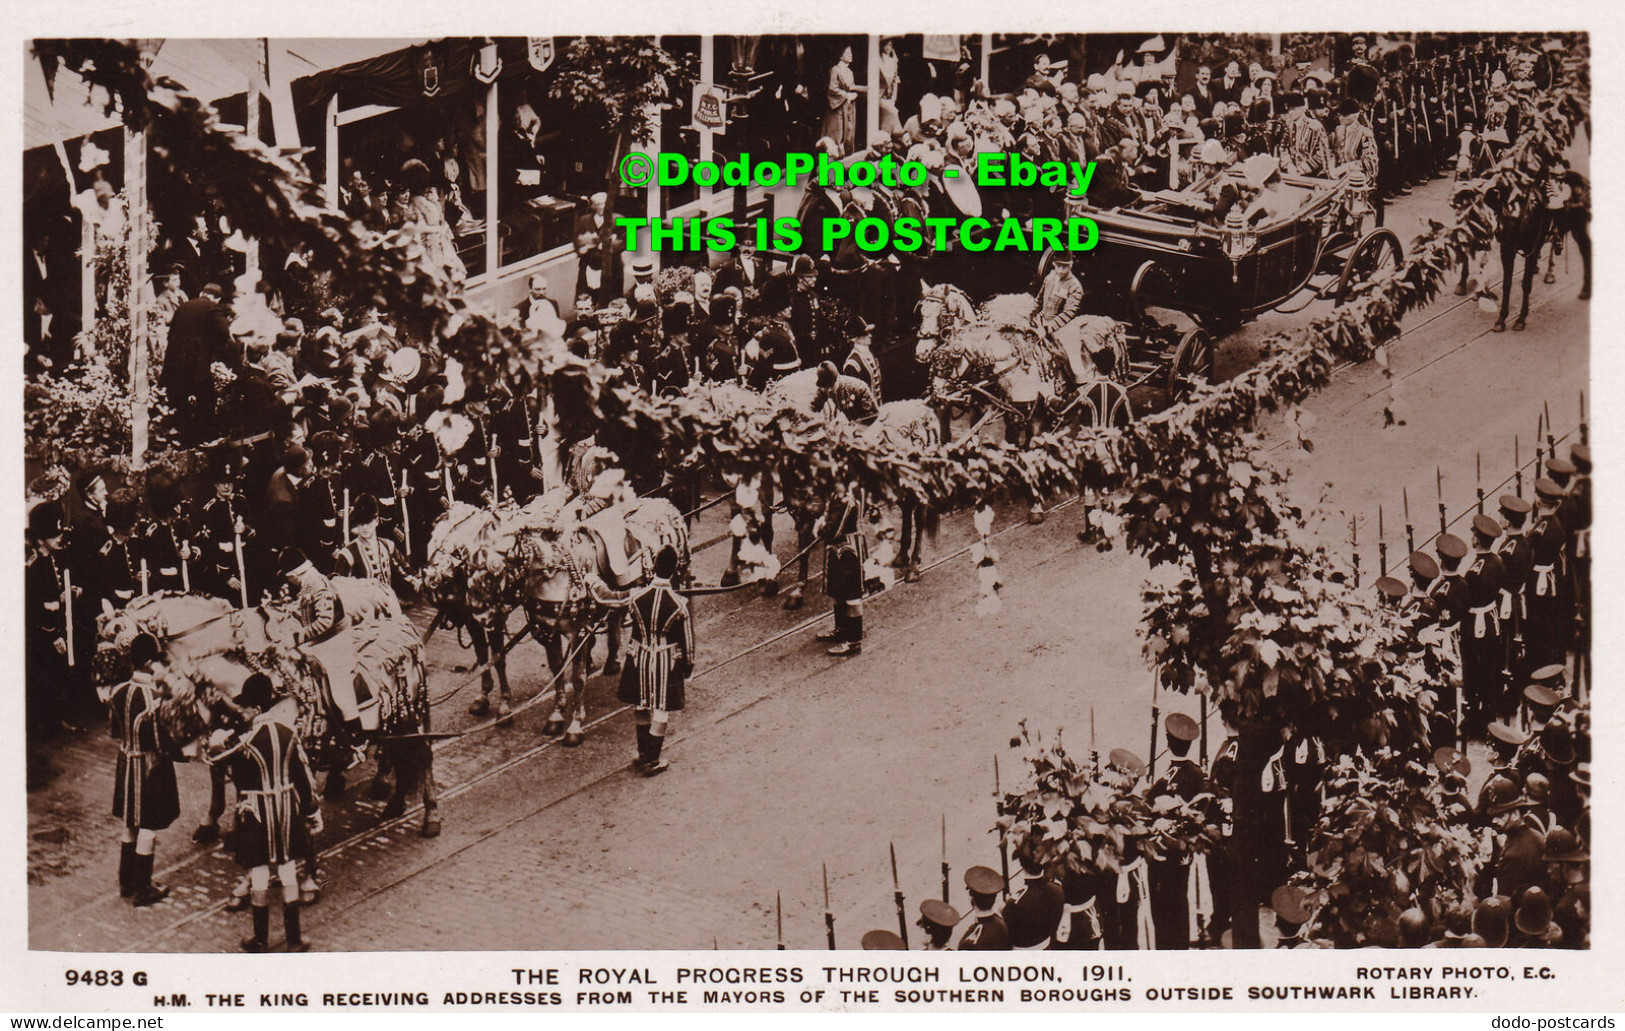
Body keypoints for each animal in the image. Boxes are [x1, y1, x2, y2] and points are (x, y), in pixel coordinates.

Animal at [97, 585, 442, 832]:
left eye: (117, 631)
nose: (98, 681)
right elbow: (220, 775)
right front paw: (213, 822)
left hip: (410, 711)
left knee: (419, 754)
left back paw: (425, 813)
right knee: (400, 749)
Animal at [516, 494, 689, 741]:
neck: (554, 577)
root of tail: (666, 502)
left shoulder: (578, 633)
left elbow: (577, 678)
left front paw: (575, 725)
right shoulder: (547, 630)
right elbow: (557, 670)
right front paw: (557, 715)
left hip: (674, 579)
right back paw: (614, 662)